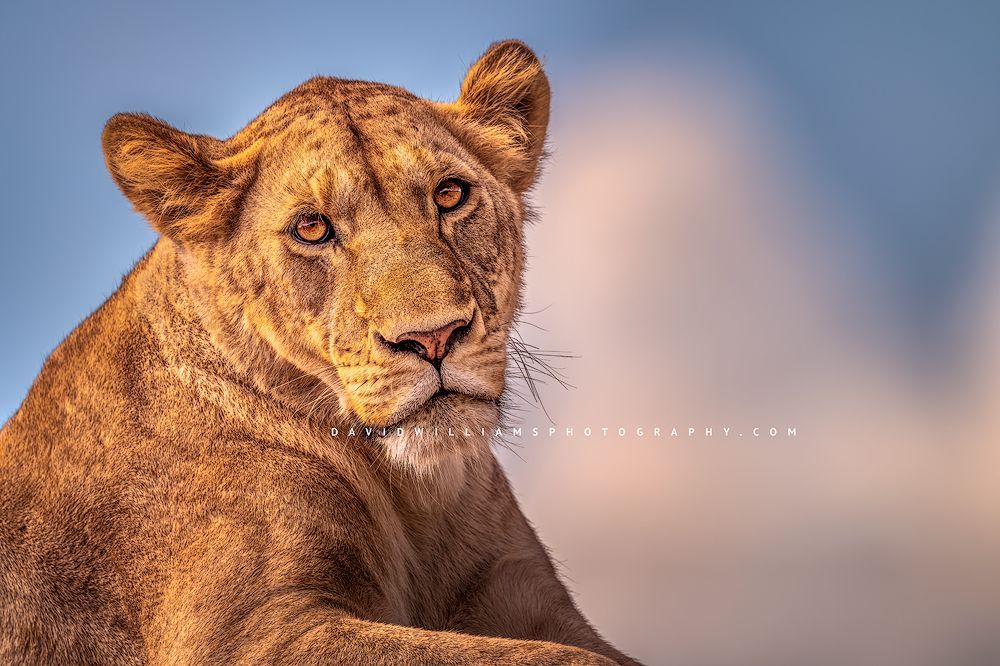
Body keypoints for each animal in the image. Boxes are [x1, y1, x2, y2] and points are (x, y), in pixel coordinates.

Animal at [0, 41, 640, 665]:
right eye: (312, 227)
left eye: (450, 194)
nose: (434, 337)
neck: (415, 504)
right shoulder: (245, 632)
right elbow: (554, 658)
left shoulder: (524, 590)